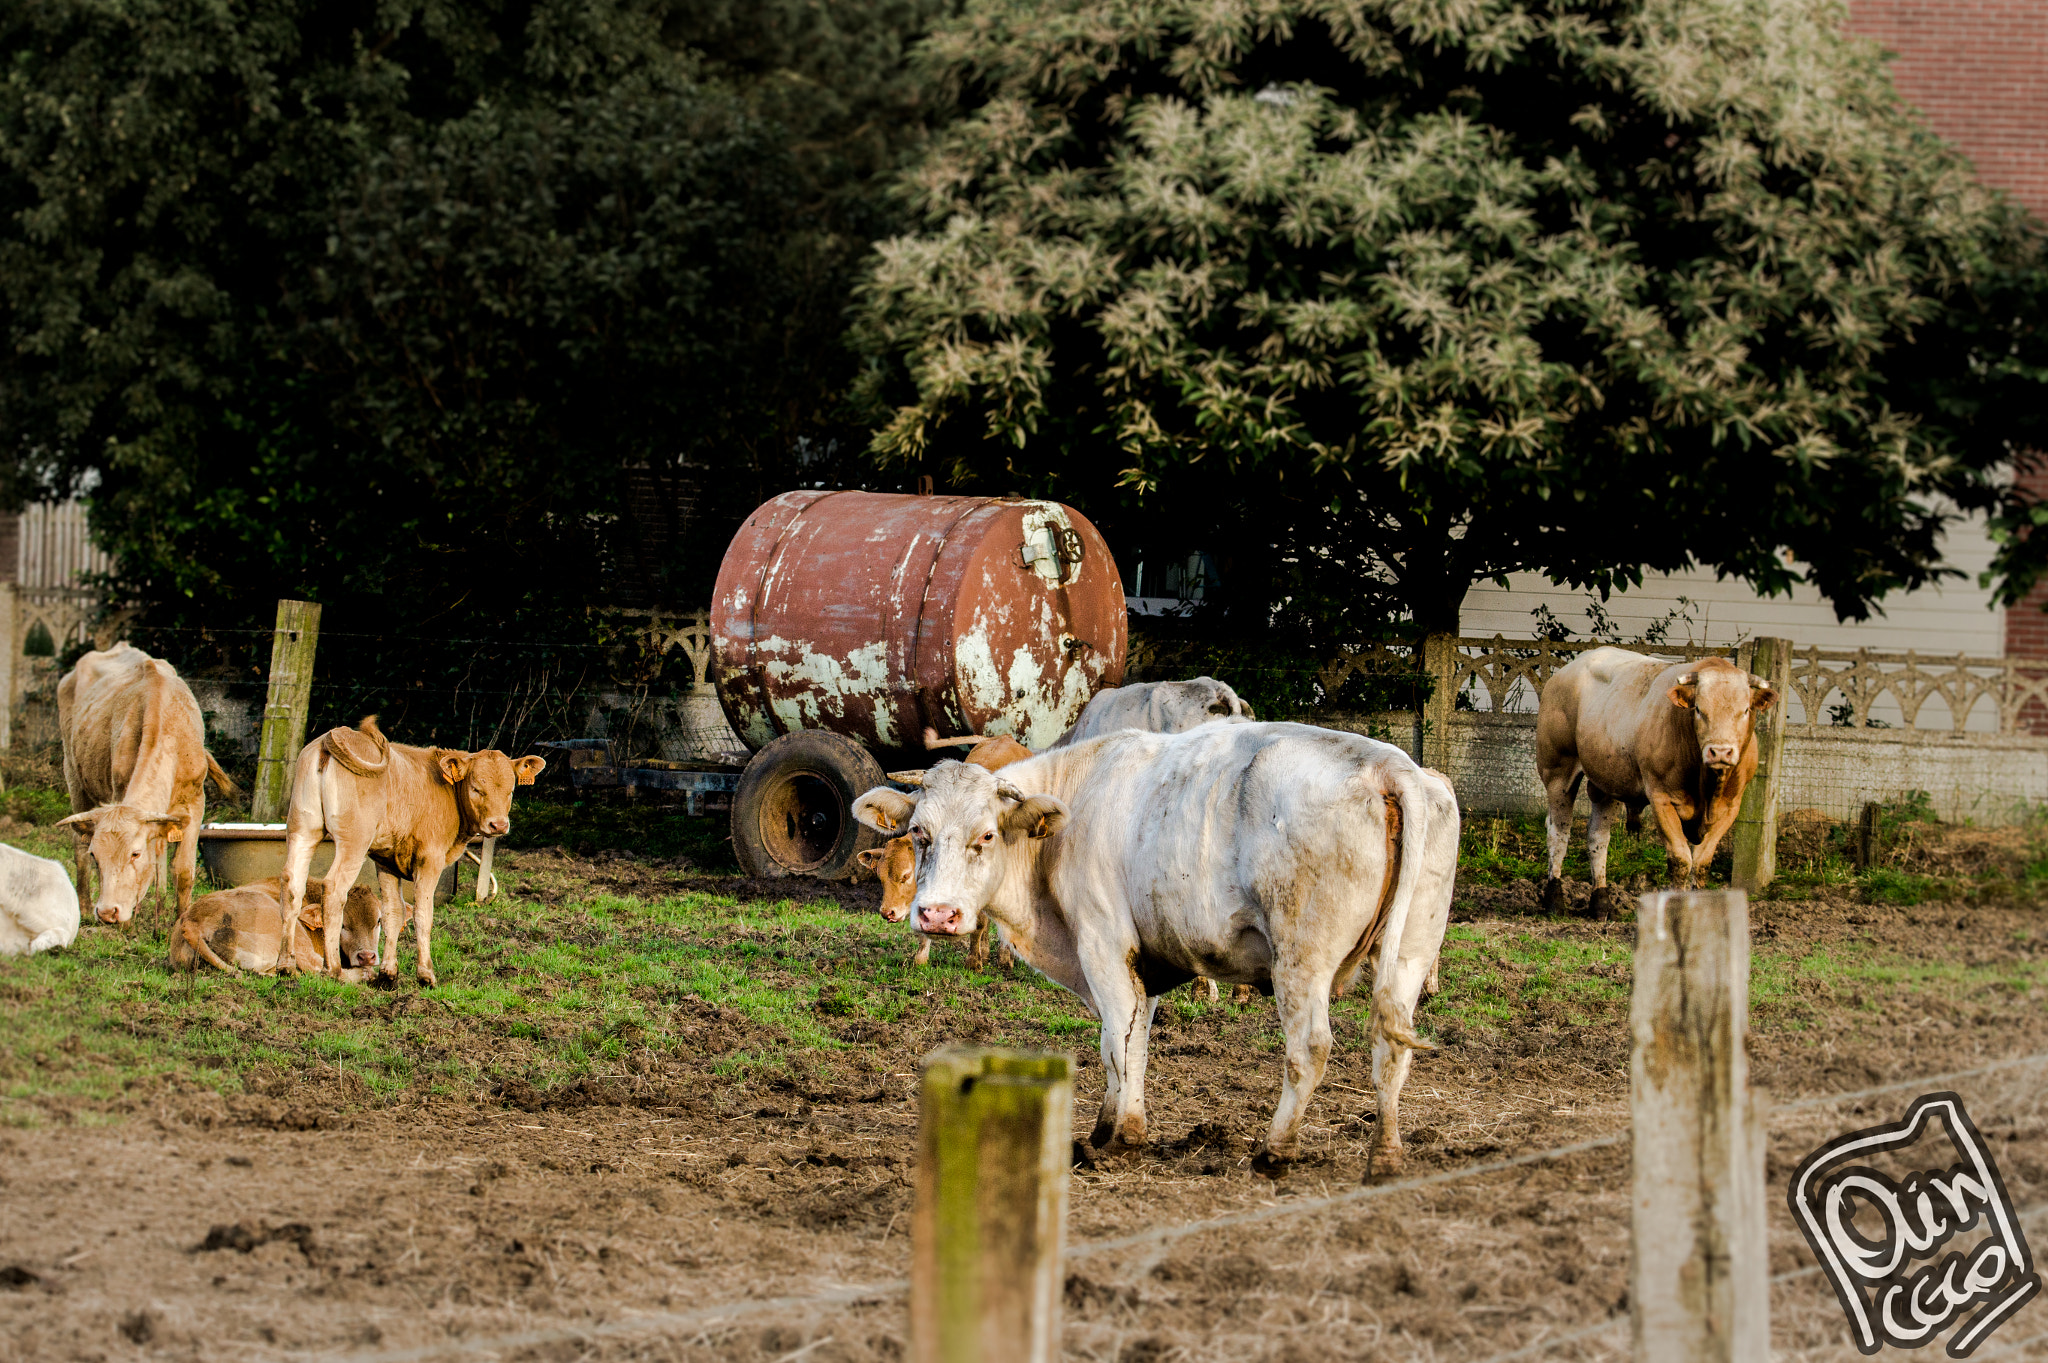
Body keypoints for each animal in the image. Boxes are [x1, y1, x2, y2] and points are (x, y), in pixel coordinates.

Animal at [55, 646, 234, 925]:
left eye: (135, 853)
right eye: (96, 855)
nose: (106, 911)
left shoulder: (195, 802)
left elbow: (182, 870)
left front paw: (175, 921)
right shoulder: (118, 792)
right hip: (73, 774)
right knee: (78, 844)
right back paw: (83, 908)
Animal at [276, 716, 544, 982]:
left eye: (511, 790)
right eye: (477, 788)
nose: (498, 825)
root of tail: (331, 738)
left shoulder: (385, 861)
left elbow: (393, 913)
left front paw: (388, 973)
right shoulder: (430, 858)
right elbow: (423, 914)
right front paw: (426, 973)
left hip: (302, 829)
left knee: (292, 884)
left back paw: (285, 964)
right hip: (353, 841)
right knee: (333, 888)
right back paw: (333, 969)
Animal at [847, 716, 1458, 1170]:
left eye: (987, 835)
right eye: (919, 833)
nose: (937, 915)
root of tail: (1388, 765)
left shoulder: (1103, 945)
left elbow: (1120, 1043)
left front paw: (1124, 1137)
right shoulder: (1145, 959)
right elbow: (1125, 1041)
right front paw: (1103, 1127)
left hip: (1302, 960)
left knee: (1309, 1047)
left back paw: (1274, 1150)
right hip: (1410, 953)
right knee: (1392, 1049)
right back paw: (1385, 1155)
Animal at [1540, 646, 1777, 916]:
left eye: (1745, 710)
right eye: (1698, 709)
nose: (1720, 752)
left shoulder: (1731, 807)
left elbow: (1702, 863)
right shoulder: (1662, 799)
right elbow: (1681, 860)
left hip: (1607, 784)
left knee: (1597, 838)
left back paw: (1601, 903)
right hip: (1557, 772)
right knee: (1558, 833)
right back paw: (1554, 900)